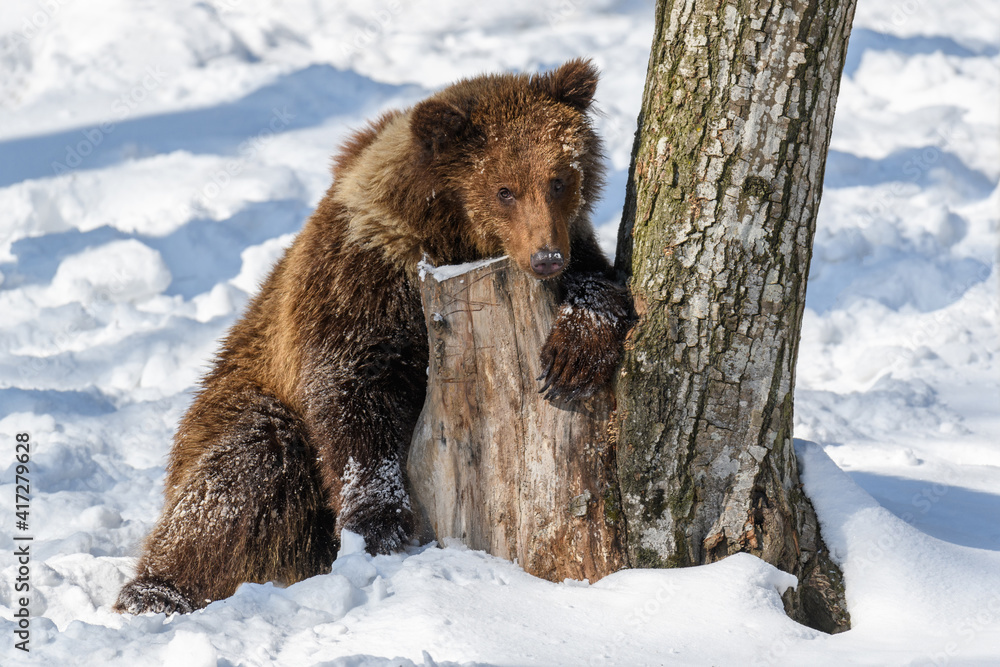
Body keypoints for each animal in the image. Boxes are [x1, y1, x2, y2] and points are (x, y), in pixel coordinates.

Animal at [114, 58, 632, 615]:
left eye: (559, 179)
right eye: (503, 189)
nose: (545, 258)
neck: (447, 242)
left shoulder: (576, 244)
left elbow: (602, 287)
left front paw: (572, 355)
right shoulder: (361, 282)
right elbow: (352, 392)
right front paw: (378, 522)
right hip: (238, 400)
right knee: (238, 473)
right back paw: (155, 591)